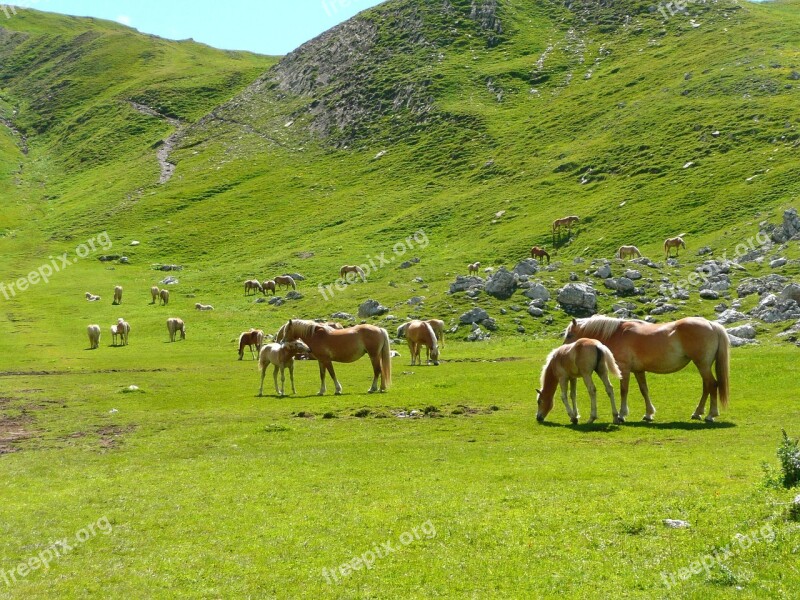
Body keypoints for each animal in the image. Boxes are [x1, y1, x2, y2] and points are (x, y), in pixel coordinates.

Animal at [564, 314, 732, 422]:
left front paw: (622, 414)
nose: (564, 351)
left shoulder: (624, 369)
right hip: (704, 366)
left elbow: (623, 390)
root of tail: (711, 324)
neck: (618, 334)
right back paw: (698, 413)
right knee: (707, 387)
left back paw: (711, 414)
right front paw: (648, 414)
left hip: (702, 365)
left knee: (712, 385)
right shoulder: (639, 370)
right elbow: (644, 390)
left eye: (570, 335)